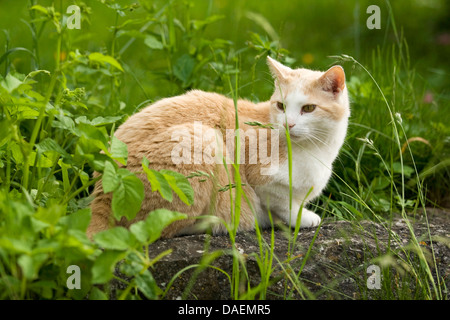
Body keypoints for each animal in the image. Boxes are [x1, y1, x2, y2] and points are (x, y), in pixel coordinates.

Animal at [86, 56, 350, 239]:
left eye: (308, 108)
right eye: (281, 106)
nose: (288, 124)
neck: (314, 148)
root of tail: (102, 193)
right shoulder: (261, 181)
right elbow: (283, 204)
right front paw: (301, 218)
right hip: (203, 139)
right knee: (157, 228)